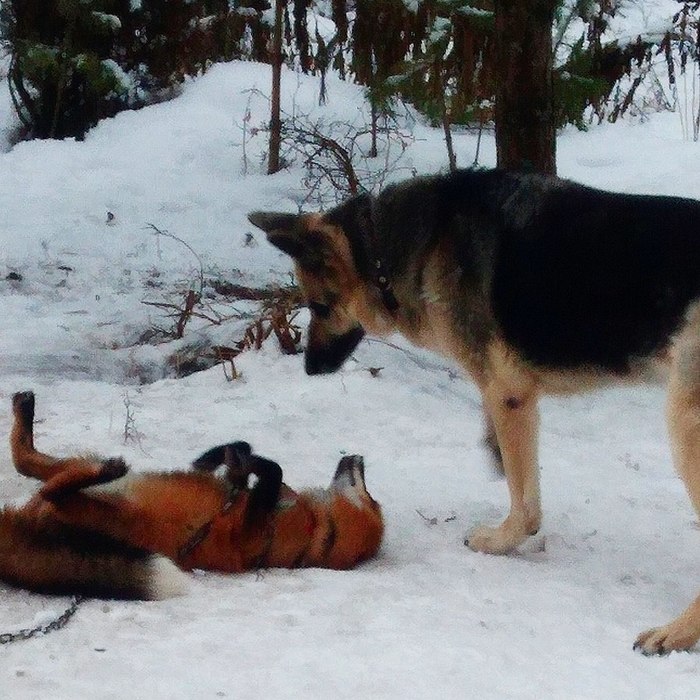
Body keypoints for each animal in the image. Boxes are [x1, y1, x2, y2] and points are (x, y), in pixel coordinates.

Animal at [0, 392, 382, 600]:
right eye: (372, 495)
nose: (359, 457)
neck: (313, 523)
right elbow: (246, 463)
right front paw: (224, 456)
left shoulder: (249, 535)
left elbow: (272, 471)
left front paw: (247, 462)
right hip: (76, 469)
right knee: (25, 460)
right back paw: (25, 409)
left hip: (83, 500)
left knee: (48, 484)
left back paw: (104, 470)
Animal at [247, 167, 700, 652]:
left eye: (319, 306)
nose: (310, 368)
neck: (387, 249)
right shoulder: (514, 399)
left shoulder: (508, 395)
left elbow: (524, 500)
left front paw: (501, 540)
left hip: (684, 428)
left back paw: (675, 632)